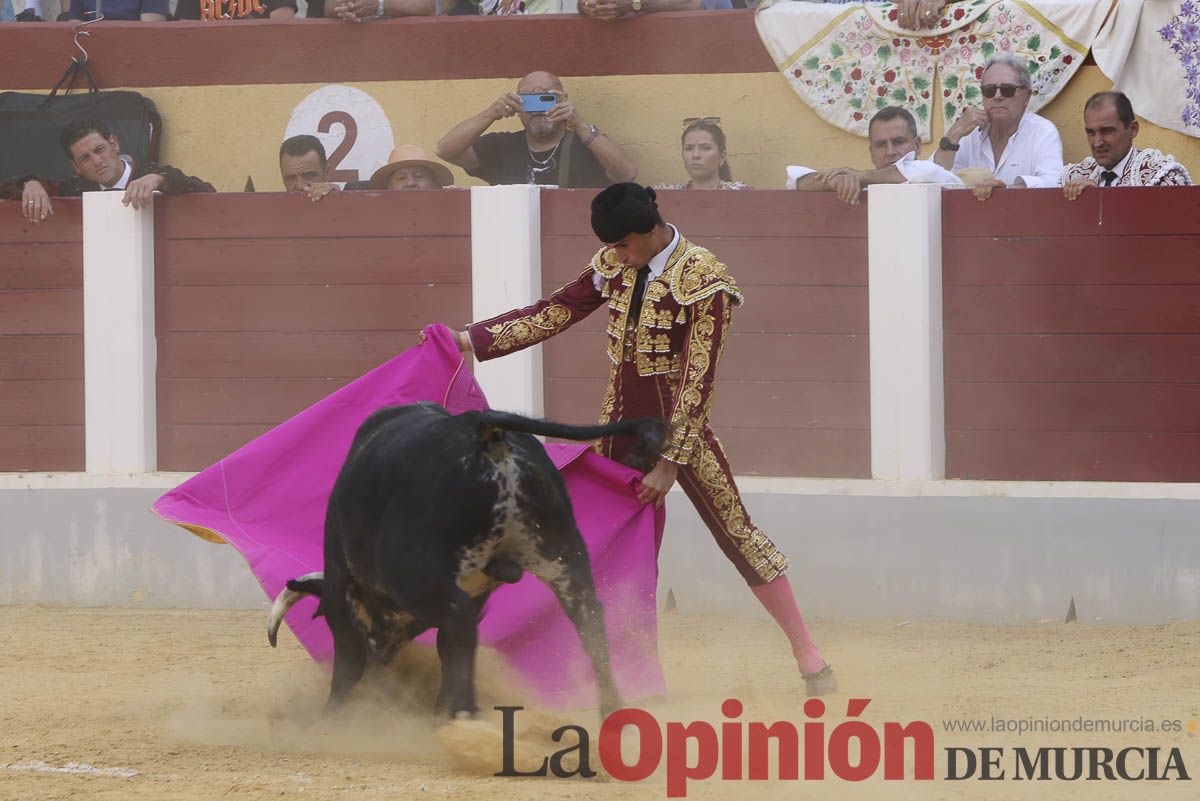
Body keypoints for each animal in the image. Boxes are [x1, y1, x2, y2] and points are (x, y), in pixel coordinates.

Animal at [266, 402, 672, 714]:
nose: (383, 659)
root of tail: (484, 429)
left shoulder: (340, 582)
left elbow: (348, 660)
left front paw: (330, 716)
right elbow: (448, 648)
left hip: (417, 577)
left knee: (458, 624)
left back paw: (462, 714)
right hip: (564, 556)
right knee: (590, 622)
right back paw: (610, 711)